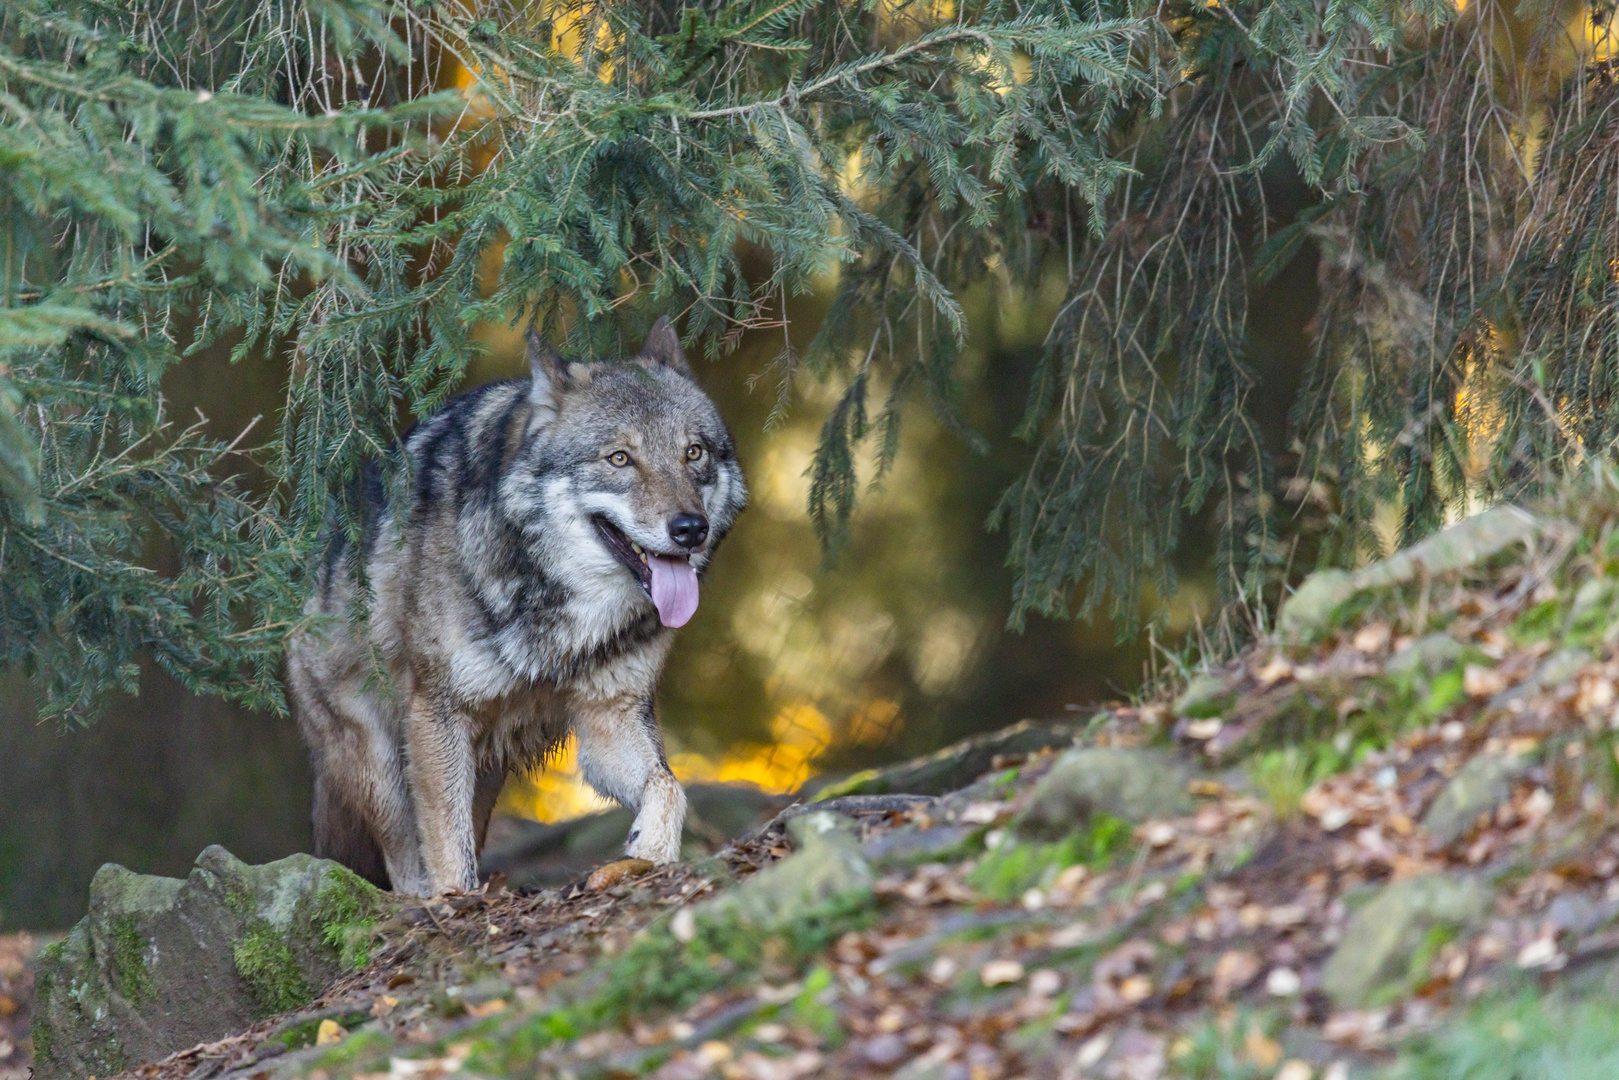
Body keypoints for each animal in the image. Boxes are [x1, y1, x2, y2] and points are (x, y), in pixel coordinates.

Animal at [284, 318, 744, 893]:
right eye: (620, 458)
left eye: (694, 453)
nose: (689, 529)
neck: (561, 610)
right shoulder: (436, 712)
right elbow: (446, 850)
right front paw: (456, 901)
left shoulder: (611, 716)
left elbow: (668, 786)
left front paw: (649, 853)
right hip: (382, 762)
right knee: (406, 863)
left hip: (484, 768)